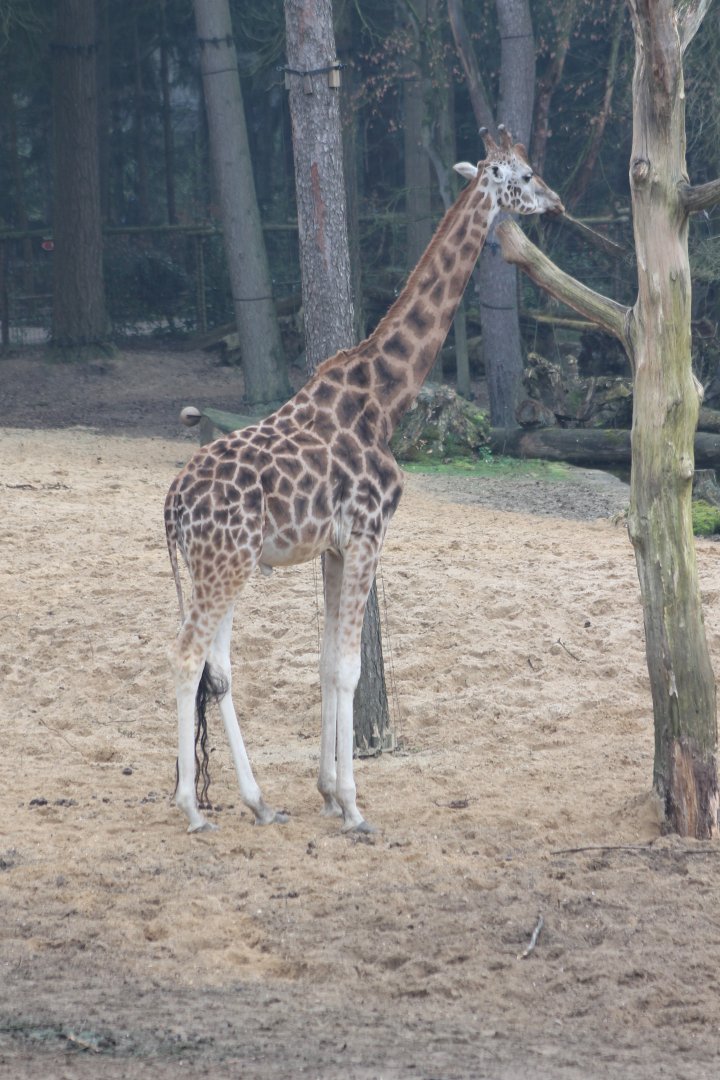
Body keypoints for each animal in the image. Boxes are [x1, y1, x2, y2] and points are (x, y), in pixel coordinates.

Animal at [165, 126, 563, 834]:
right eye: (523, 174)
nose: (558, 201)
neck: (385, 396)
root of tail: (170, 507)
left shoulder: (331, 546)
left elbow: (327, 665)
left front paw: (326, 791)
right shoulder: (369, 534)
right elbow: (349, 668)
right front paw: (352, 806)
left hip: (224, 564)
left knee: (217, 664)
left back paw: (257, 801)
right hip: (224, 563)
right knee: (187, 658)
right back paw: (192, 808)